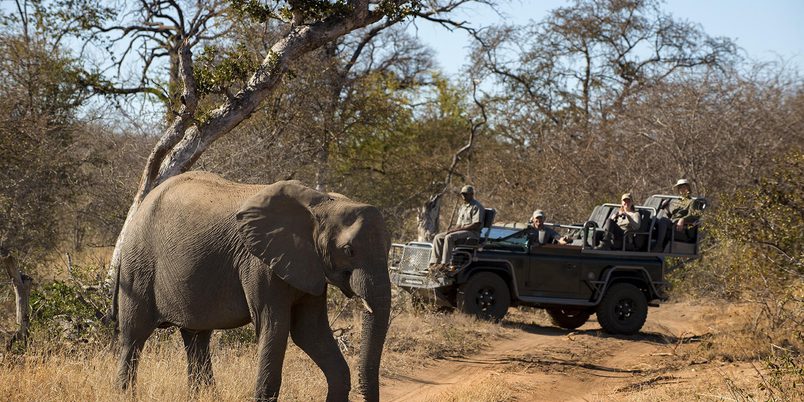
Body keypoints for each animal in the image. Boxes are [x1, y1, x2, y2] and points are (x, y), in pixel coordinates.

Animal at [112, 171, 391, 401]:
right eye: (349, 250)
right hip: (138, 264)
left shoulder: (310, 265)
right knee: (134, 337)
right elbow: (275, 327)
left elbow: (309, 331)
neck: (323, 203)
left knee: (196, 338)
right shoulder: (259, 262)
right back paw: (124, 395)